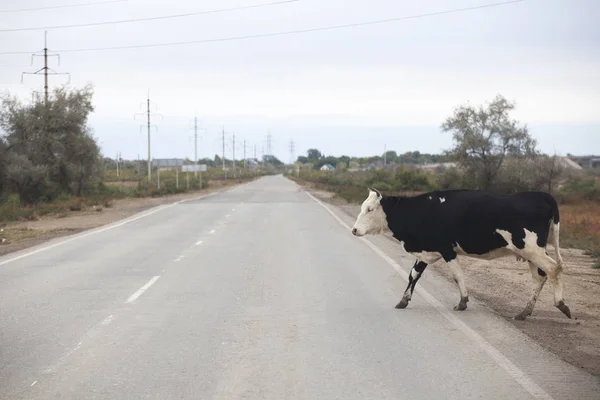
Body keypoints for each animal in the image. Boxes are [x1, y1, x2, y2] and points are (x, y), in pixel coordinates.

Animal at [352, 188, 572, 322]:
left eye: (369, 209)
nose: (354, 230)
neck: (422, 211)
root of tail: (540, 195)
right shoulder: (427, 251)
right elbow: (413, 275)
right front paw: (404, 300)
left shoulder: (446, 250)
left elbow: (457, 275)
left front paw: (463, 302)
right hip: (531, 253)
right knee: (539, 278)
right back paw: (524, 312)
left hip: (532, 248)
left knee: (554, 269)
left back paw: (561, 304)